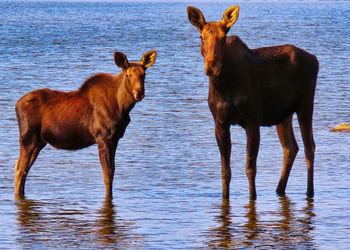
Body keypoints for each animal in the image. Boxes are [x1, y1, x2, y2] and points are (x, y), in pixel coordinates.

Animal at [15, 50, 157, 199]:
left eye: (144, 74)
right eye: (128, 75)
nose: (139, 93)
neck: (122, 106)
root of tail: (16, 104)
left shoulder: (115, 139)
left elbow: (112, 171)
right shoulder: (103, 138)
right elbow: (108, 174)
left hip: (40, 141)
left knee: (22, 168)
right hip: (28, 138)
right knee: (20, 169)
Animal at [187, 5, 318, 199]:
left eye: (223, 38)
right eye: (201, 37)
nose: (212, 66)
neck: (224, 86)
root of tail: (315, 59)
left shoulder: (252, 121)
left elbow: (250, 168)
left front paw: (253, 197)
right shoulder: (220, 122)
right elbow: (225, 170)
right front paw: (225, 198)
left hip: (306, 105)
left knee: (309, 147)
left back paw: (309, 192)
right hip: (283, 114)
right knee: (290, 147)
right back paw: (279, 189)